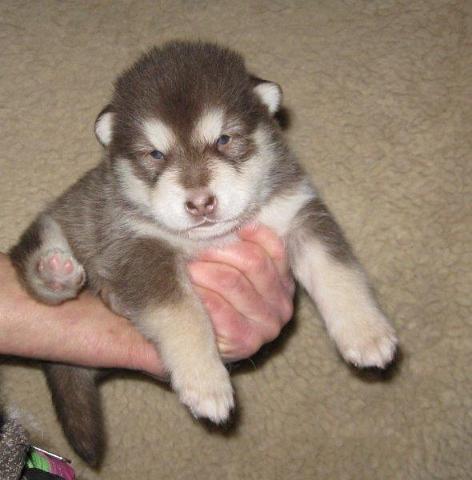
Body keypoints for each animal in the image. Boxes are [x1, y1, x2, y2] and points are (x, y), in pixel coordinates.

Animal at [10, 41, 397, 466]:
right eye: (155, 154)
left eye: (224, 139)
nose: (200, 203)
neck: (212, 238)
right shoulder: (141, 247)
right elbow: (182, 316)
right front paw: (206, 383)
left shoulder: (299, 212)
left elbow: (337, 270)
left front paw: (366, 332)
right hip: (62, 218)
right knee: (30, 254)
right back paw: (54, 272)